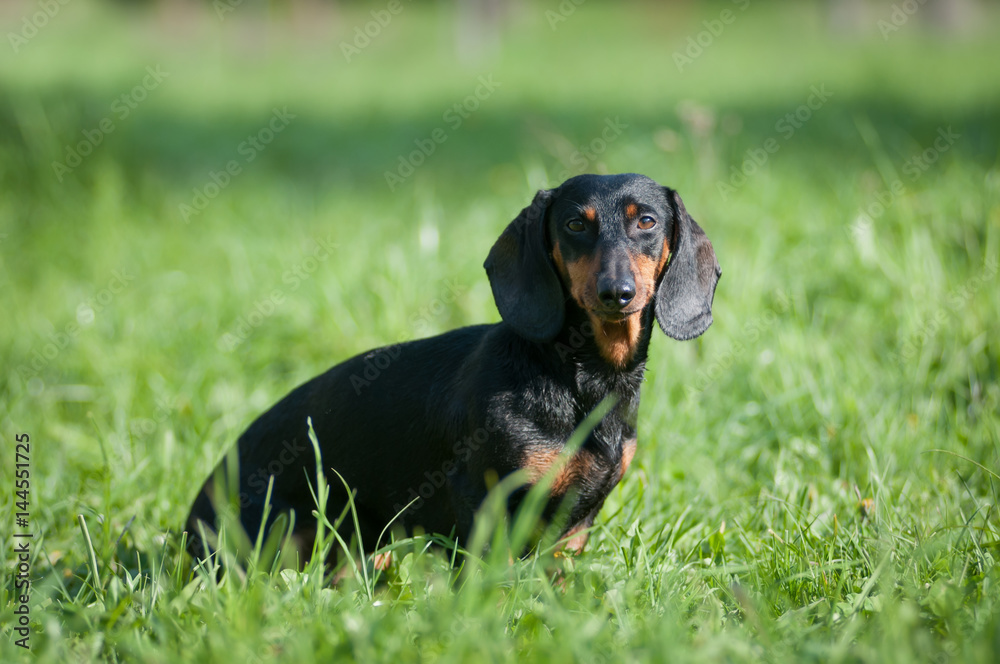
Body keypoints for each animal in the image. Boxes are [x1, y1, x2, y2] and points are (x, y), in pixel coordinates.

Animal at [186, 172, 720, 564]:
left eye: (646, 221)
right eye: (574, 225)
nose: (617, 293)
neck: (578, 378)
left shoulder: (574, 526)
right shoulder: (485, 499)